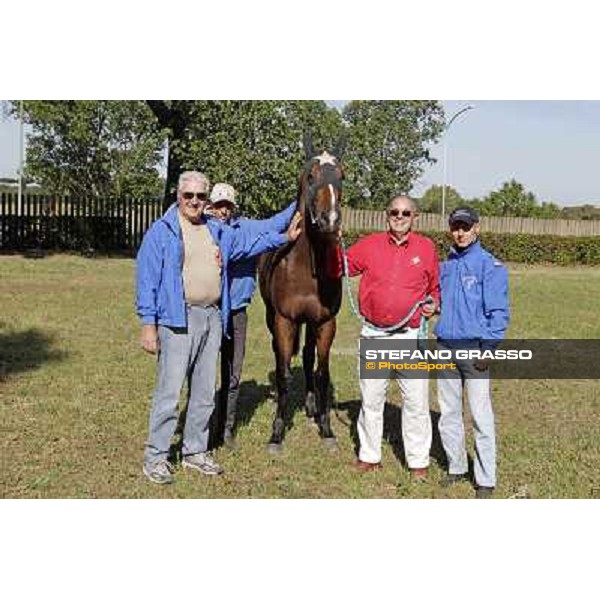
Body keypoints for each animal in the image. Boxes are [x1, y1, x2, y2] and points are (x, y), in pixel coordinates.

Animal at [258, 138, 346, 452]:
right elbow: (284, 373)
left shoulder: (325, 322)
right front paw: (276, 433)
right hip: (273, 318)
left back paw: (310, 406)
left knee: (308, 358)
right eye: (311, 176)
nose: (330, 220)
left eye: (342, 176)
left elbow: (321, 373)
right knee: (279, 356)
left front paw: (327, 429)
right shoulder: (285, 320)